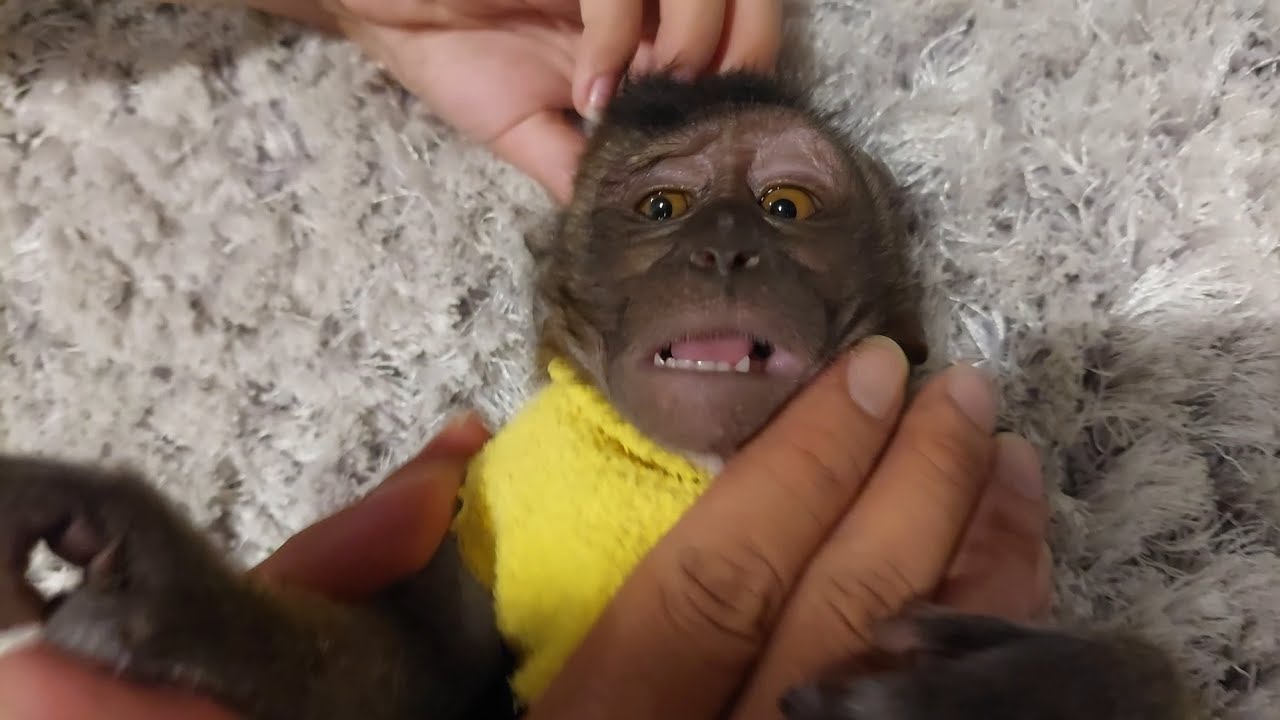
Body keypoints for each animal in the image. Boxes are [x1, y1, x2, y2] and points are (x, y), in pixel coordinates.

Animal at [0, 71, 1199, 720]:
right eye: (664, 208)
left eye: (784, 205)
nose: (724, 248)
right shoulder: (489, 512)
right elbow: (425, 670)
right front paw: (178, 598)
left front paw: (1039, 692)